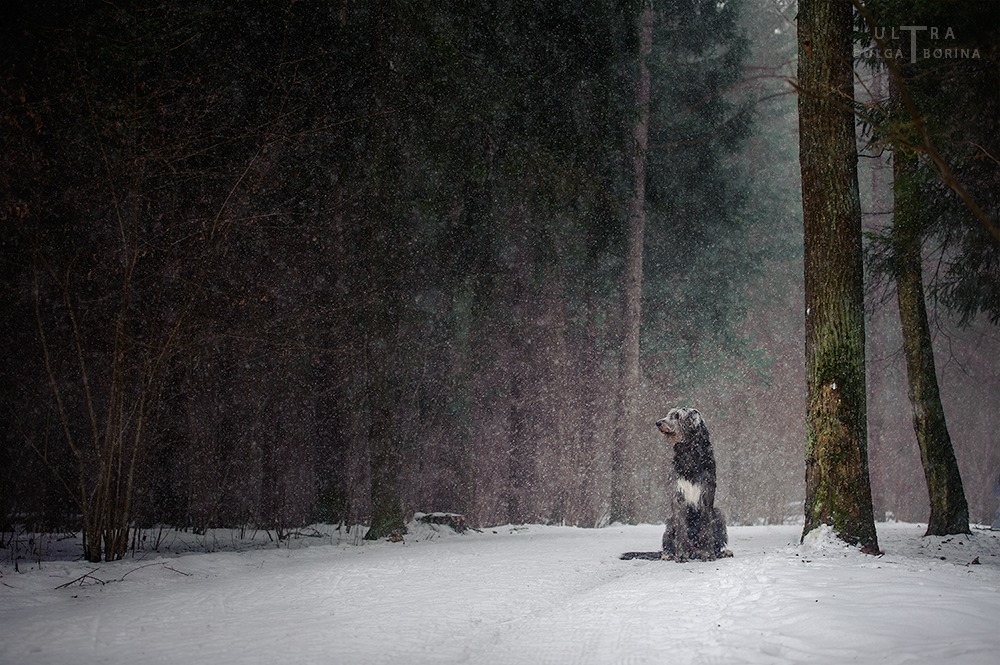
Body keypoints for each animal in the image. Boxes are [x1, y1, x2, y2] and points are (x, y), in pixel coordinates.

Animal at [620, 408, 732, 564]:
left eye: (677, 416)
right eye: (669, 414)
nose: (658, 423)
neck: (689, 452)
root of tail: (693, 551)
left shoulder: (707, 495)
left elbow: (706, 527)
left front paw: (708, 554)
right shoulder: (678, 495)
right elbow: (681, 528)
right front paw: (680, 555)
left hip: (718, 514)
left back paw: (719, 553)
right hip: (670, 521)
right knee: (668, 543)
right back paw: (669, 554)